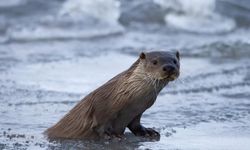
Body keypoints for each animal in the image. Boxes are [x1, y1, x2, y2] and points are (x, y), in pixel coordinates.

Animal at [45, 50, 180, 139]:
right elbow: (99, 124)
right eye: (155, 62)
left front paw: (148, 131)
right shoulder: (101, 106)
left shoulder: (137, 112)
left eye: (175, 61)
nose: (169, 67)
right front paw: (112, 135)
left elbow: (135, 125)